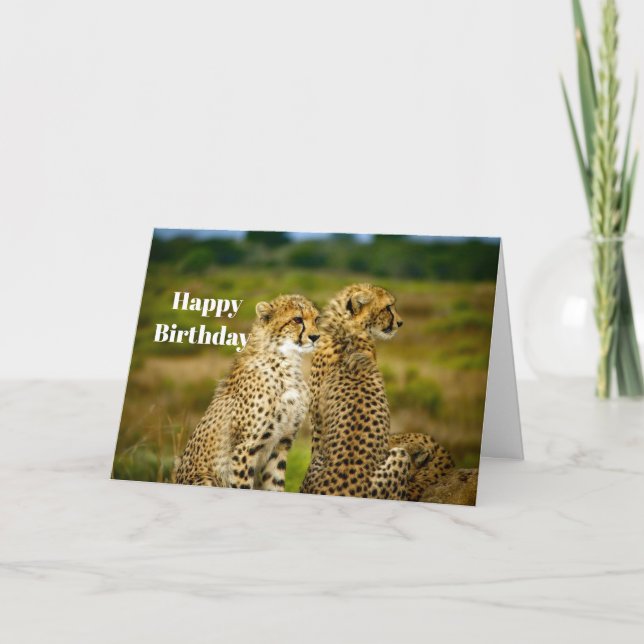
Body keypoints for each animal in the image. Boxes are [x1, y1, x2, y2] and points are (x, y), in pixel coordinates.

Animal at [175, 294, 320, 491]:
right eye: (297, 319)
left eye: (316, 319)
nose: (315, 337)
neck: (287, 362)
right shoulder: (245, 447)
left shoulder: (281, 444)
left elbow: (274, 485)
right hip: (206, 478)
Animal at [299, 283, 412, 500]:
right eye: (388, 307)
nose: (401, 323)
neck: (345, 328)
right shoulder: (317, 419)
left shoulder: (316, 420)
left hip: (401, 455)